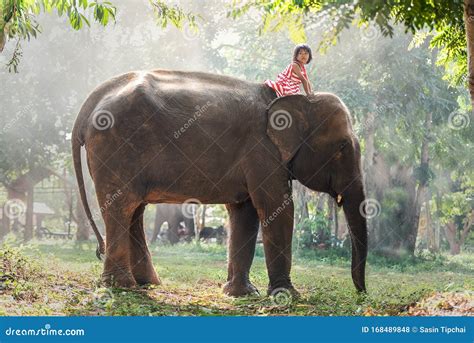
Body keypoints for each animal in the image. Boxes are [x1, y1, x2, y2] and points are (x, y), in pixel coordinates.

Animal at [72, 68, 368, 296]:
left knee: (134, 210)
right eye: (342, 147)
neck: (293, 100)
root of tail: (90, 102)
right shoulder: (262, 152)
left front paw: (241, 294)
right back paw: (122, 287)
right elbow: (277, 208)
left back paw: (147, 284)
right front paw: (287, 296)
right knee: (121, 207)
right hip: (115, 147)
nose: (361, 293)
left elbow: (245, 213)